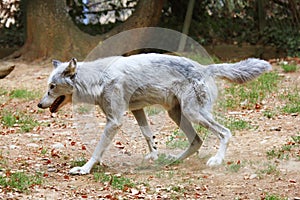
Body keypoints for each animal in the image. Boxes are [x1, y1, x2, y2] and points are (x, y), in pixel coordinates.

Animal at [38, 52, 272, 173]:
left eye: (51, 87)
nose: (39, 105)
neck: (97, 79)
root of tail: (206, 67)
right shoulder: (137, 110)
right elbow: (148, 135)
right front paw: (154, 155)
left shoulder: (114, 121)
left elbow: (97, 149)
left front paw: (85, 169)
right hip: (177, 115)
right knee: (197, 141)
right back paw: (173, 161)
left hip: (193, 114)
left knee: (225, 133)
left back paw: (217, 160)